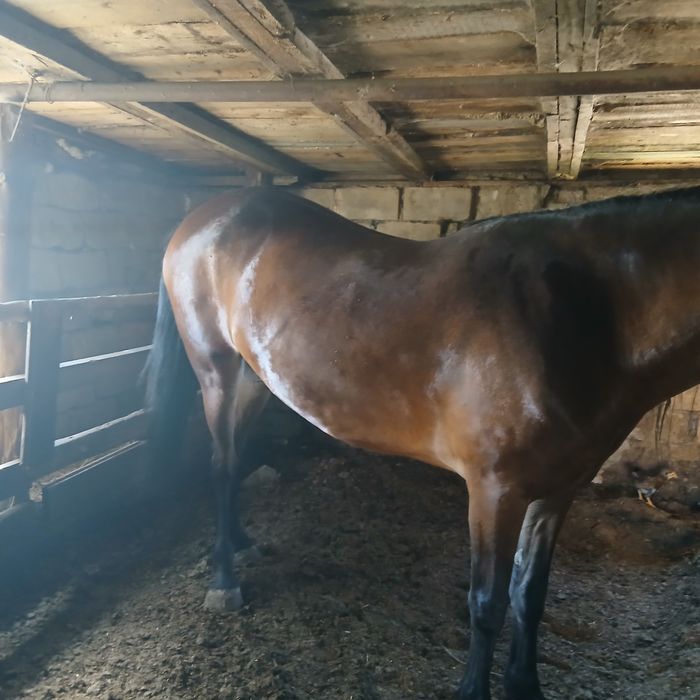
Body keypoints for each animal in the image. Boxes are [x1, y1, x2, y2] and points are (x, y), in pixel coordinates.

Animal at [143, 185, 700, 700]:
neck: (582, 314)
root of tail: (199, 218)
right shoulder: (495, 490)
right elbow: (487, 604)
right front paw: (474, 690)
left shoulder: (559, 491)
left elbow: (530, 593)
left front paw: (525, 685)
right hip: (216, 370)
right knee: (220, 464)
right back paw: (224, 580)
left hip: (256, 377)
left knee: (235, 460)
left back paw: (240, 541)